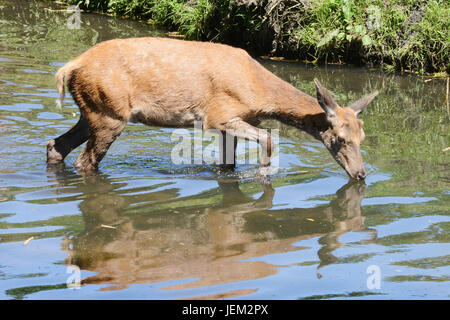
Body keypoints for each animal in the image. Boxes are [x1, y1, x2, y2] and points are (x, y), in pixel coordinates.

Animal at [46, 37, 376, 180]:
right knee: (84, 161)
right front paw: (262, 174)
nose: (361, 174)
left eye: (362, 138)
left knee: (56, 145)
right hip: (110, 114)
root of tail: (69, 66)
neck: (259, 93)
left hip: (92, 110)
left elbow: (227, 165)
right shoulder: (220, 116)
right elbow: (269, 139)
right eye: (341, 139)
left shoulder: (230, 125)